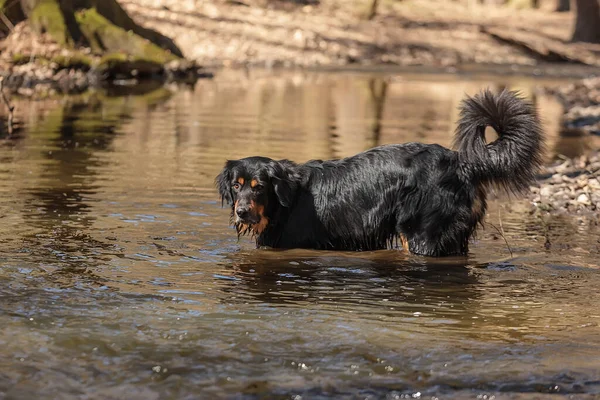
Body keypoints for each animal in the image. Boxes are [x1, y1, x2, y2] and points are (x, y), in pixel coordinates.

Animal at [214, 89, 544, 256]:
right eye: (236, 186)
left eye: (259, 186)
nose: (241, 211)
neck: (287, 201)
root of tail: (462, 162)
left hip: (422, 234)